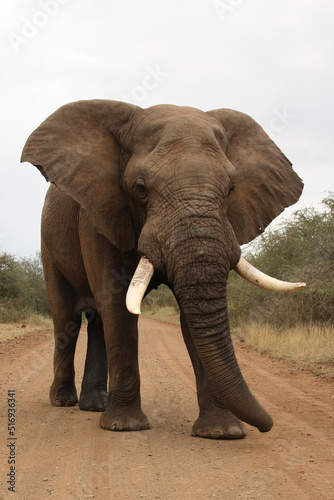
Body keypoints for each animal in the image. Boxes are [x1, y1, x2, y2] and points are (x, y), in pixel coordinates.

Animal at [19, 99, 304, 440]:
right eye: (140, 188)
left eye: (232, 188)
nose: (266, 426)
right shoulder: (98, 212)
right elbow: (117, 306)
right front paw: (125, 427)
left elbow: (191, 316)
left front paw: (223, 432)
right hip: (49, 243)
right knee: (67, 319)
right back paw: (63, 401)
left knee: (97, 321)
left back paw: (96, 405)